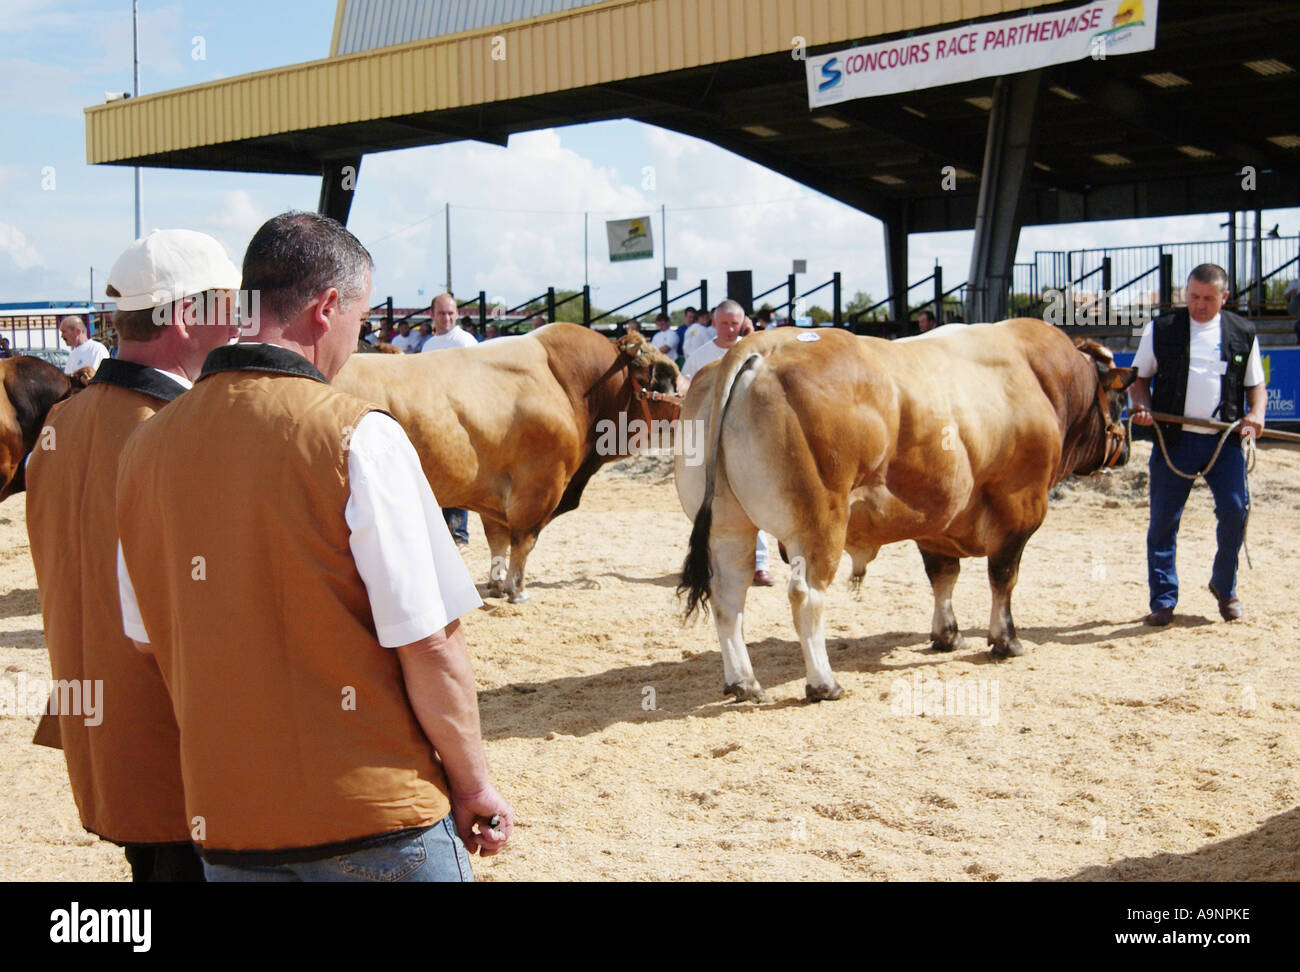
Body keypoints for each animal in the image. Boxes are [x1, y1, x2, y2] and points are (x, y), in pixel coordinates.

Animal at [332, 324, 681, 600]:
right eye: (664, 376)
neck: (566, 385)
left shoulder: (492, 496)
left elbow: (498, 540)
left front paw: (496, 585)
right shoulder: (540, 484)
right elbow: (524, 540)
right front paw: (518, 589)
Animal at [676, 322, 1133, 701]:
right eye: (1120, 397)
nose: (1126, 448)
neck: (1037, 377)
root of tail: (761, 345)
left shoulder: (937, 519)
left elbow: (943, 577)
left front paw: (947, 635)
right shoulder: (1019, 506)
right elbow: (1003, 578)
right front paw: (1006, 640)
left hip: (729, 525)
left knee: (728, 595)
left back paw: (744, 682)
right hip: (818, 524)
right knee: (805, 596)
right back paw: (823, 683)